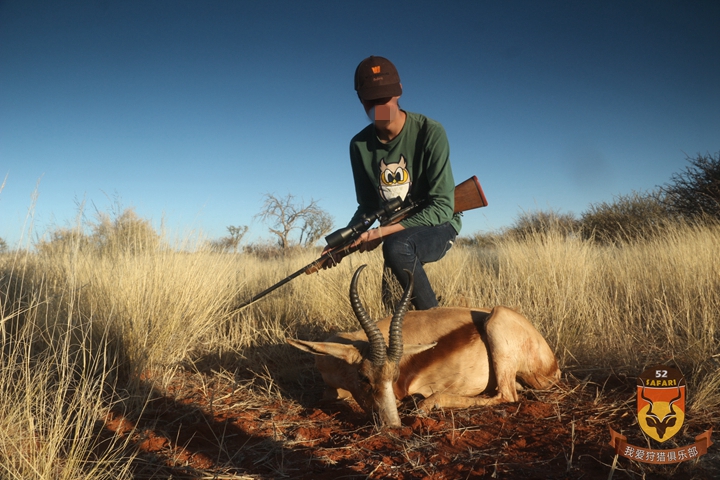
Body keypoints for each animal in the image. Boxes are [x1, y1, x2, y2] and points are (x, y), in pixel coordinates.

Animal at [288, 266, 564, 428]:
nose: (393, 426)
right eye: (364, 377)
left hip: (497, 325)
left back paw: (428, 404)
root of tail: (554, 365)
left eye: (395, 376)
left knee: (506, 396)